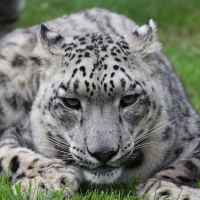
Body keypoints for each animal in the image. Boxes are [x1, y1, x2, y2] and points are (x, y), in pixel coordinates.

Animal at [0, 7, 200, 199]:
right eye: (71, 102)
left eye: (129, 99)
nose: (103, 153)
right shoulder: (21, 131)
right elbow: (10, 154)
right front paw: (49, 179)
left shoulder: (191, 133)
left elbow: (187, 164)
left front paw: (175, 190)